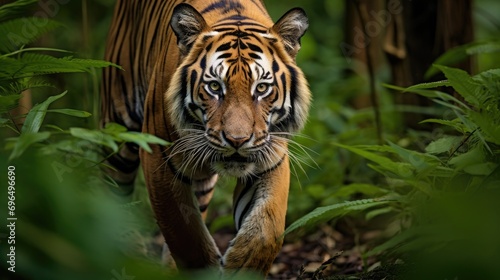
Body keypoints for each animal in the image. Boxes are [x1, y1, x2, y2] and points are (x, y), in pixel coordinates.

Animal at [100, 0, 310, 276]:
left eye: (262, 88)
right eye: (214, 87)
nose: (237, 140)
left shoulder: (270, 158)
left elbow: (266, 228)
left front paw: (240, 267)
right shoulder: (159, 159)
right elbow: (184, 233)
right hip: (119, 131)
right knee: (113, 192)